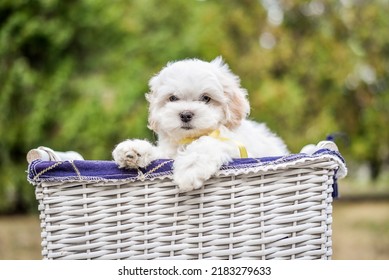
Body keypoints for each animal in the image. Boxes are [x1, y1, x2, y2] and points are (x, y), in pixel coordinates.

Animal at [112, 57, 288, 192]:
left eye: (206, 98)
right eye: (173, 98)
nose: (185, 114)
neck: (190, 138)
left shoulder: (240, 150)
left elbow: (207, 143)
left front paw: (190, 168)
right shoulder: (169, 153)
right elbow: (160, 154)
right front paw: (134, 151)